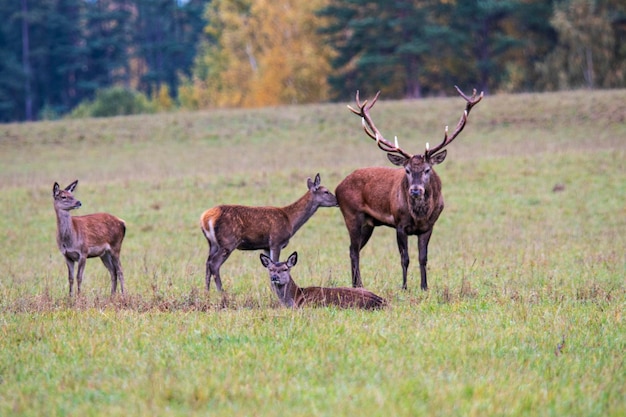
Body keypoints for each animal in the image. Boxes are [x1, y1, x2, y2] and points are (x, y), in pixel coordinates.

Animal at [200, 174, 336, 290]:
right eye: (326, 191)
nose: (337, 201)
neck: (290, 220)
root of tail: (205, 218)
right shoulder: (276, 241)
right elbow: (274, 264)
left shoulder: (265, 246)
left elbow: (269, 267)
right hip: (228, 241)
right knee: (214, 264)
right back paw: (222, 293)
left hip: (213, 243)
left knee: (207, 263)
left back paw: (207, 292)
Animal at [334, 85, 480, 290]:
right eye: (407, 170)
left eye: (427, 169)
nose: (416, 190)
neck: (419, 215)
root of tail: (337, 187)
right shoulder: (399, 224)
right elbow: (405, 258)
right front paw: (404, 287)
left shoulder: (428, 227)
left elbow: (423, 258)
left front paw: (424, 287)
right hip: (352, 215)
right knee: (354, 250)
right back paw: (358, 285)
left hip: (369, 223)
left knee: (352, 249)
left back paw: (356, 285)